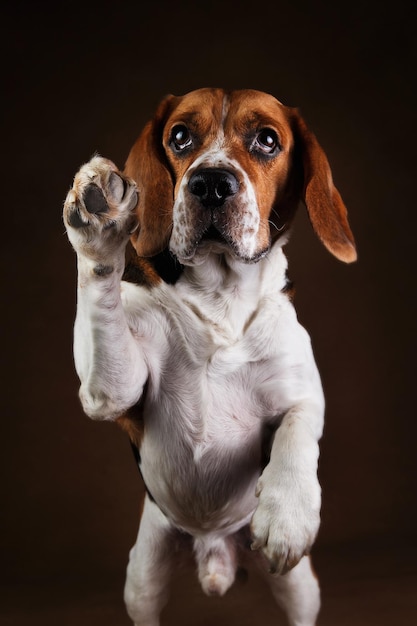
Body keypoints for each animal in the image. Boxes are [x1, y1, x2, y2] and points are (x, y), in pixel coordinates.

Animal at [62, 88, 354, 624]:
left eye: (267, 140)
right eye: (180, 135)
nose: (212, 183)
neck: (222, 295)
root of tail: (213, 551)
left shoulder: (303, 389)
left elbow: (298, 430)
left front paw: (289, 511)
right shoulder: (112, 390)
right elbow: (101, 294)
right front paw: (98, 225)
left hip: (300, 586)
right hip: (142, 575)